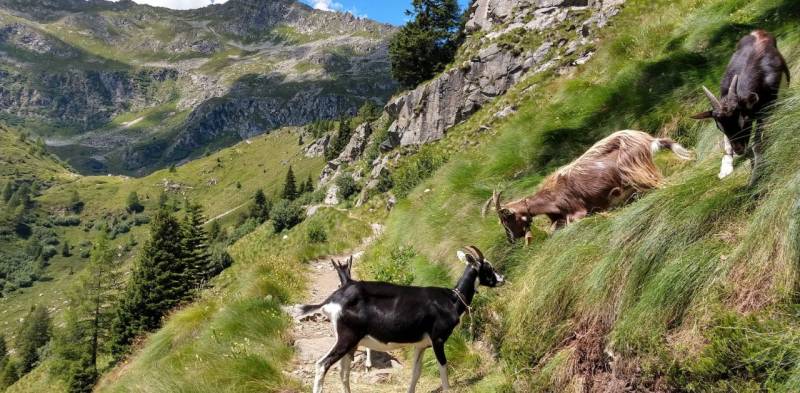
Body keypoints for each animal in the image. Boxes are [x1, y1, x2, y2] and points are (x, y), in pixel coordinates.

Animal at [296, 245, 504, 392]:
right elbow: (443, 369)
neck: (452, 299)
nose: (502, 278)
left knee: (343, 372)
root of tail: (332, 300)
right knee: (322, 365)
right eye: (488, 266)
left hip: (351, 343)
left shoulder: (421, 345)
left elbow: (416, 373)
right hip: (347, 338)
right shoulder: (437, 339)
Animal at [484, 130, 692, 243]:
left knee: (662, 184)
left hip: (636, 170)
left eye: (506, 219)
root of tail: (648, 140)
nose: (511, 239)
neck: (552, 197)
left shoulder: (577, 210)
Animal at [692, 29, 792, 183]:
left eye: (744, 120)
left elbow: (757, 144)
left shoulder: (767, 111)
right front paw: (725, 169)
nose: (739, 150)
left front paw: (755, 176)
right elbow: (727, 143)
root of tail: (759, 32)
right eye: (719, 127)